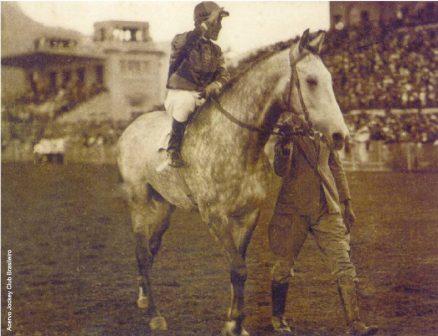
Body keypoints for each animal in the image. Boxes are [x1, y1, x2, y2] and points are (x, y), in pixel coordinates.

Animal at [117, 30, 350, 334]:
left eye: (332, 79)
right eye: (311, 81)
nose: (340, 136)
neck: (234, 140)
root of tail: (131, 127)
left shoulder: (248, 214)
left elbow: (238, 268)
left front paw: (233, 324)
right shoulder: (215, 217)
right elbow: (238, 269)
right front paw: (235, 322)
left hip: (165, 205)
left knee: (150, 248)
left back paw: (144, 298)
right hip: (139, 201)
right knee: (143, 252)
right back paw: (155, 315)